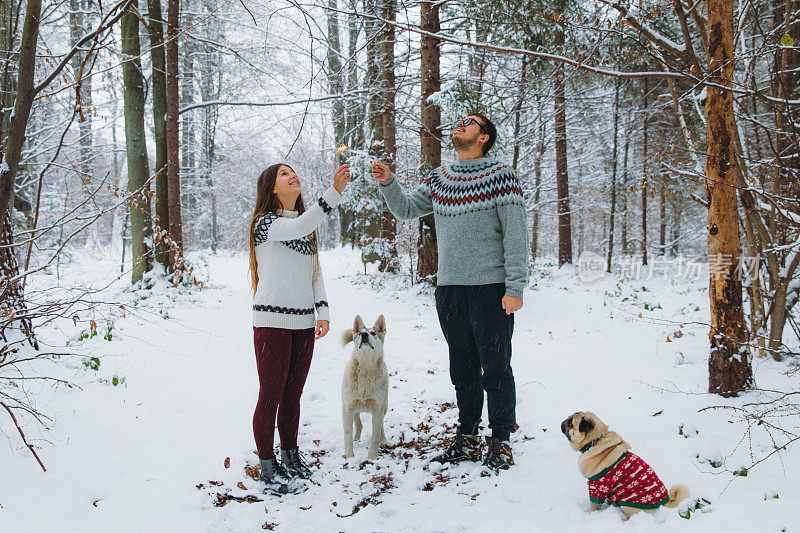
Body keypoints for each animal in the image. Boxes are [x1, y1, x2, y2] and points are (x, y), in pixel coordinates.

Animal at [340, 314, 390, 460]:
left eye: (373, 333)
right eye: (362, 332)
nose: (363, 334)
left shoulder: (377, 409)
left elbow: (375, 436)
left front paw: (372, 458)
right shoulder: (347, 408)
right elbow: (347, 435)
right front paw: (349, 457)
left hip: (384, 407)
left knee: (381, 427)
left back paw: (384, 440)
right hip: (353, 407)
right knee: (359, 424)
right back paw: (356, 439)